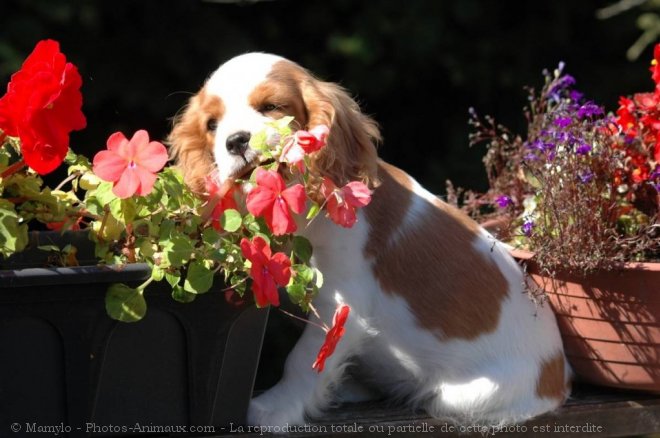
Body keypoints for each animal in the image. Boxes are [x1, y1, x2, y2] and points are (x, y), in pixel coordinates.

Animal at [168, 53, 568, 426]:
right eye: (212, 125)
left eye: (271, 107)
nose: (235, 141)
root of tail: (557, 375)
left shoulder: (342, 301)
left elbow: (303, 361)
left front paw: (273, 409)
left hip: (462, 399)